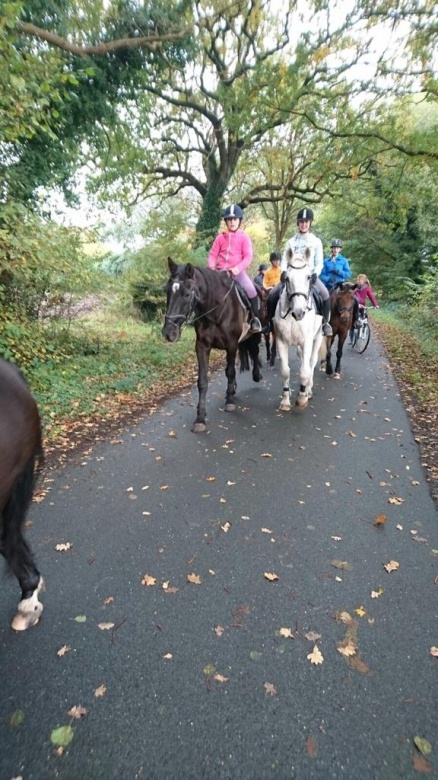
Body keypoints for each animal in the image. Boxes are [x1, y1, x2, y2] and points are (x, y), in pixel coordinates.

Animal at [162, 258, 263, 432]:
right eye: (167, 291)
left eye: (186, 294)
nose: (169, 332)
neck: (218, 308)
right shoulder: (202, 347)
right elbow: (202, 382)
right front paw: (200, 418)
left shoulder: (231, 345)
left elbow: (230, 371)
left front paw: (229, 402)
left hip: (254, 335)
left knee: (255, 352)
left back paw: (256, 376)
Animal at [273, 248, 323, 410]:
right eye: (287, 278)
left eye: (309, 277)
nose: (299, 312)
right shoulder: (281, 341)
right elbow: (285, 371)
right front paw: (285, 400)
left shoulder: (307, 341)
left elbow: (305, 371)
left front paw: (302, 398)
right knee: (303, 360)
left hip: (318, 337)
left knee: (311, 362)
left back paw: (308, 390)